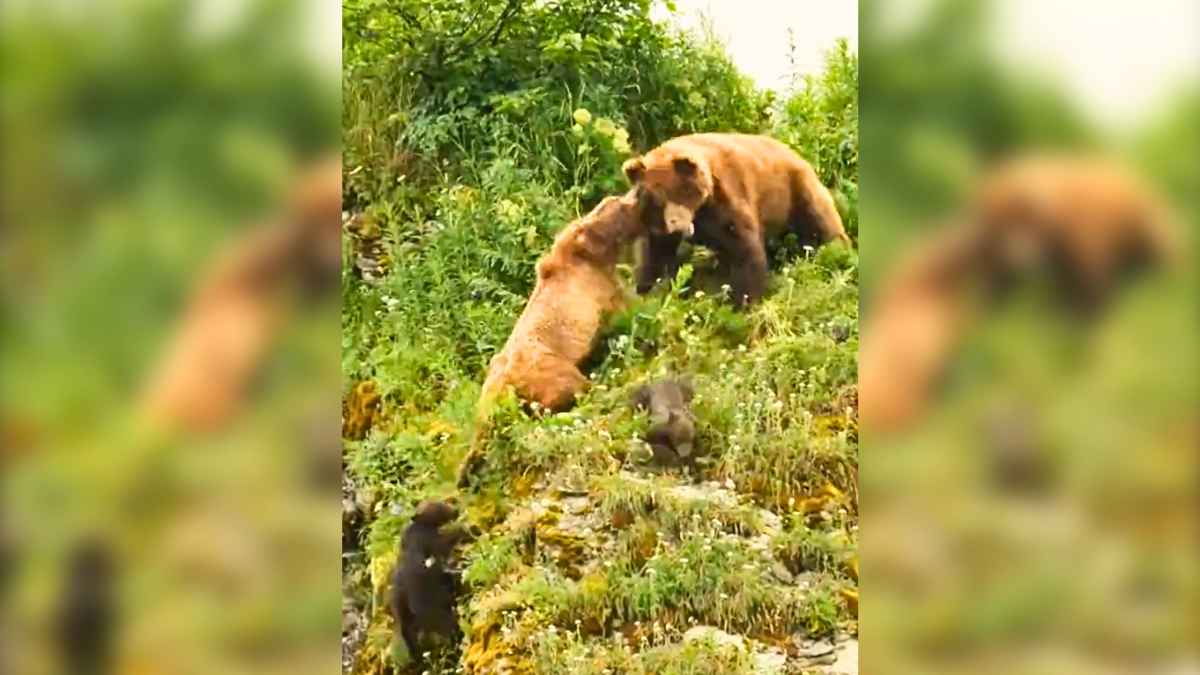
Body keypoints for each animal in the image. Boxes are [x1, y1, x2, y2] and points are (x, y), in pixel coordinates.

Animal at [456, 189, 648, 482]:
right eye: (619, 203)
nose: (637, 193)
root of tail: (502, 384)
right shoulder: (598, 287)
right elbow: (627, 308)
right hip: (546, 365)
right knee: (570, 386)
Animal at [624, 131, 849, 305]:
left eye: (682, 190)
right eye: (655, 198)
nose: (677, 226)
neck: (700, 211)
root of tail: (797, 154)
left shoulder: (725, 200)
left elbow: (744, 249)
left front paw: (743, 301)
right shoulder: (658, 223)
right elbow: (654, 253)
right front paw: (646, 290)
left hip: (795, 189)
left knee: (820, 222)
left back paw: (839, 253)